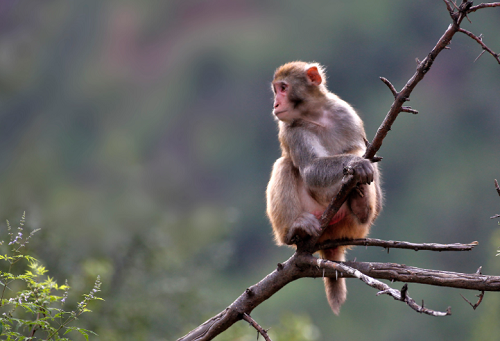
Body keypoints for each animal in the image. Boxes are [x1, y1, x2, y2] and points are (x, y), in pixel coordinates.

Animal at [266, 60, 382, 314]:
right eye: (276, 90)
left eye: (283, 88)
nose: (276, 104)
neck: (316, 115)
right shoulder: (290, 130)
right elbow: (310, 169)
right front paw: (356, 163)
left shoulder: (345, 113)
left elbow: (364, 150)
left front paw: (360, 165)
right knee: (284, 165)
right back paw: (294, 229)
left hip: (351, 226)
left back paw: (361, 207)